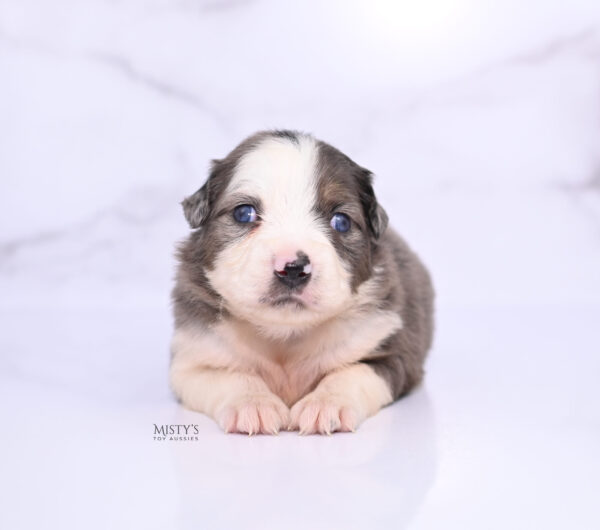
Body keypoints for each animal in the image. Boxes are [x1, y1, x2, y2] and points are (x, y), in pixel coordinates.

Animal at [171, 129, 434, 434]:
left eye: (341, 221)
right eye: (243, 213)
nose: (294, 268)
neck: (286, 335)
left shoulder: (393, 352)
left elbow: (352, 372)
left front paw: (326, 404)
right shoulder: (191, 358)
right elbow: (231, 376)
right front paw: (253, 404)